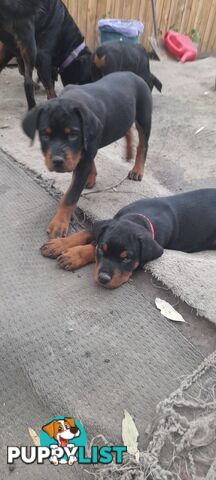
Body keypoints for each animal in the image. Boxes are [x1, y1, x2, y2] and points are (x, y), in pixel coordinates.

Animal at [23, 71, 152, 240]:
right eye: (45, 135)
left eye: (73, 135)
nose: (57, 161)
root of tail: (133, 74)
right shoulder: (86, 149)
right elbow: (87, 162)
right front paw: (91, 178)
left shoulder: (85, 151)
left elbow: (71, 196)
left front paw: (59, 223)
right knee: (126, 130)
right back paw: (128, 153)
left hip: (144, 117)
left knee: (143, 144)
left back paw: (137, 169)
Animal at [41, 189, 216, 288]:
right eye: (102, 250)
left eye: (126, 259)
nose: (103, 279)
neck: (139, 217)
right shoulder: (105, 224)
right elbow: (85, 233)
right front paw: (57, 245)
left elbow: (91, 246)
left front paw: (72, 256)